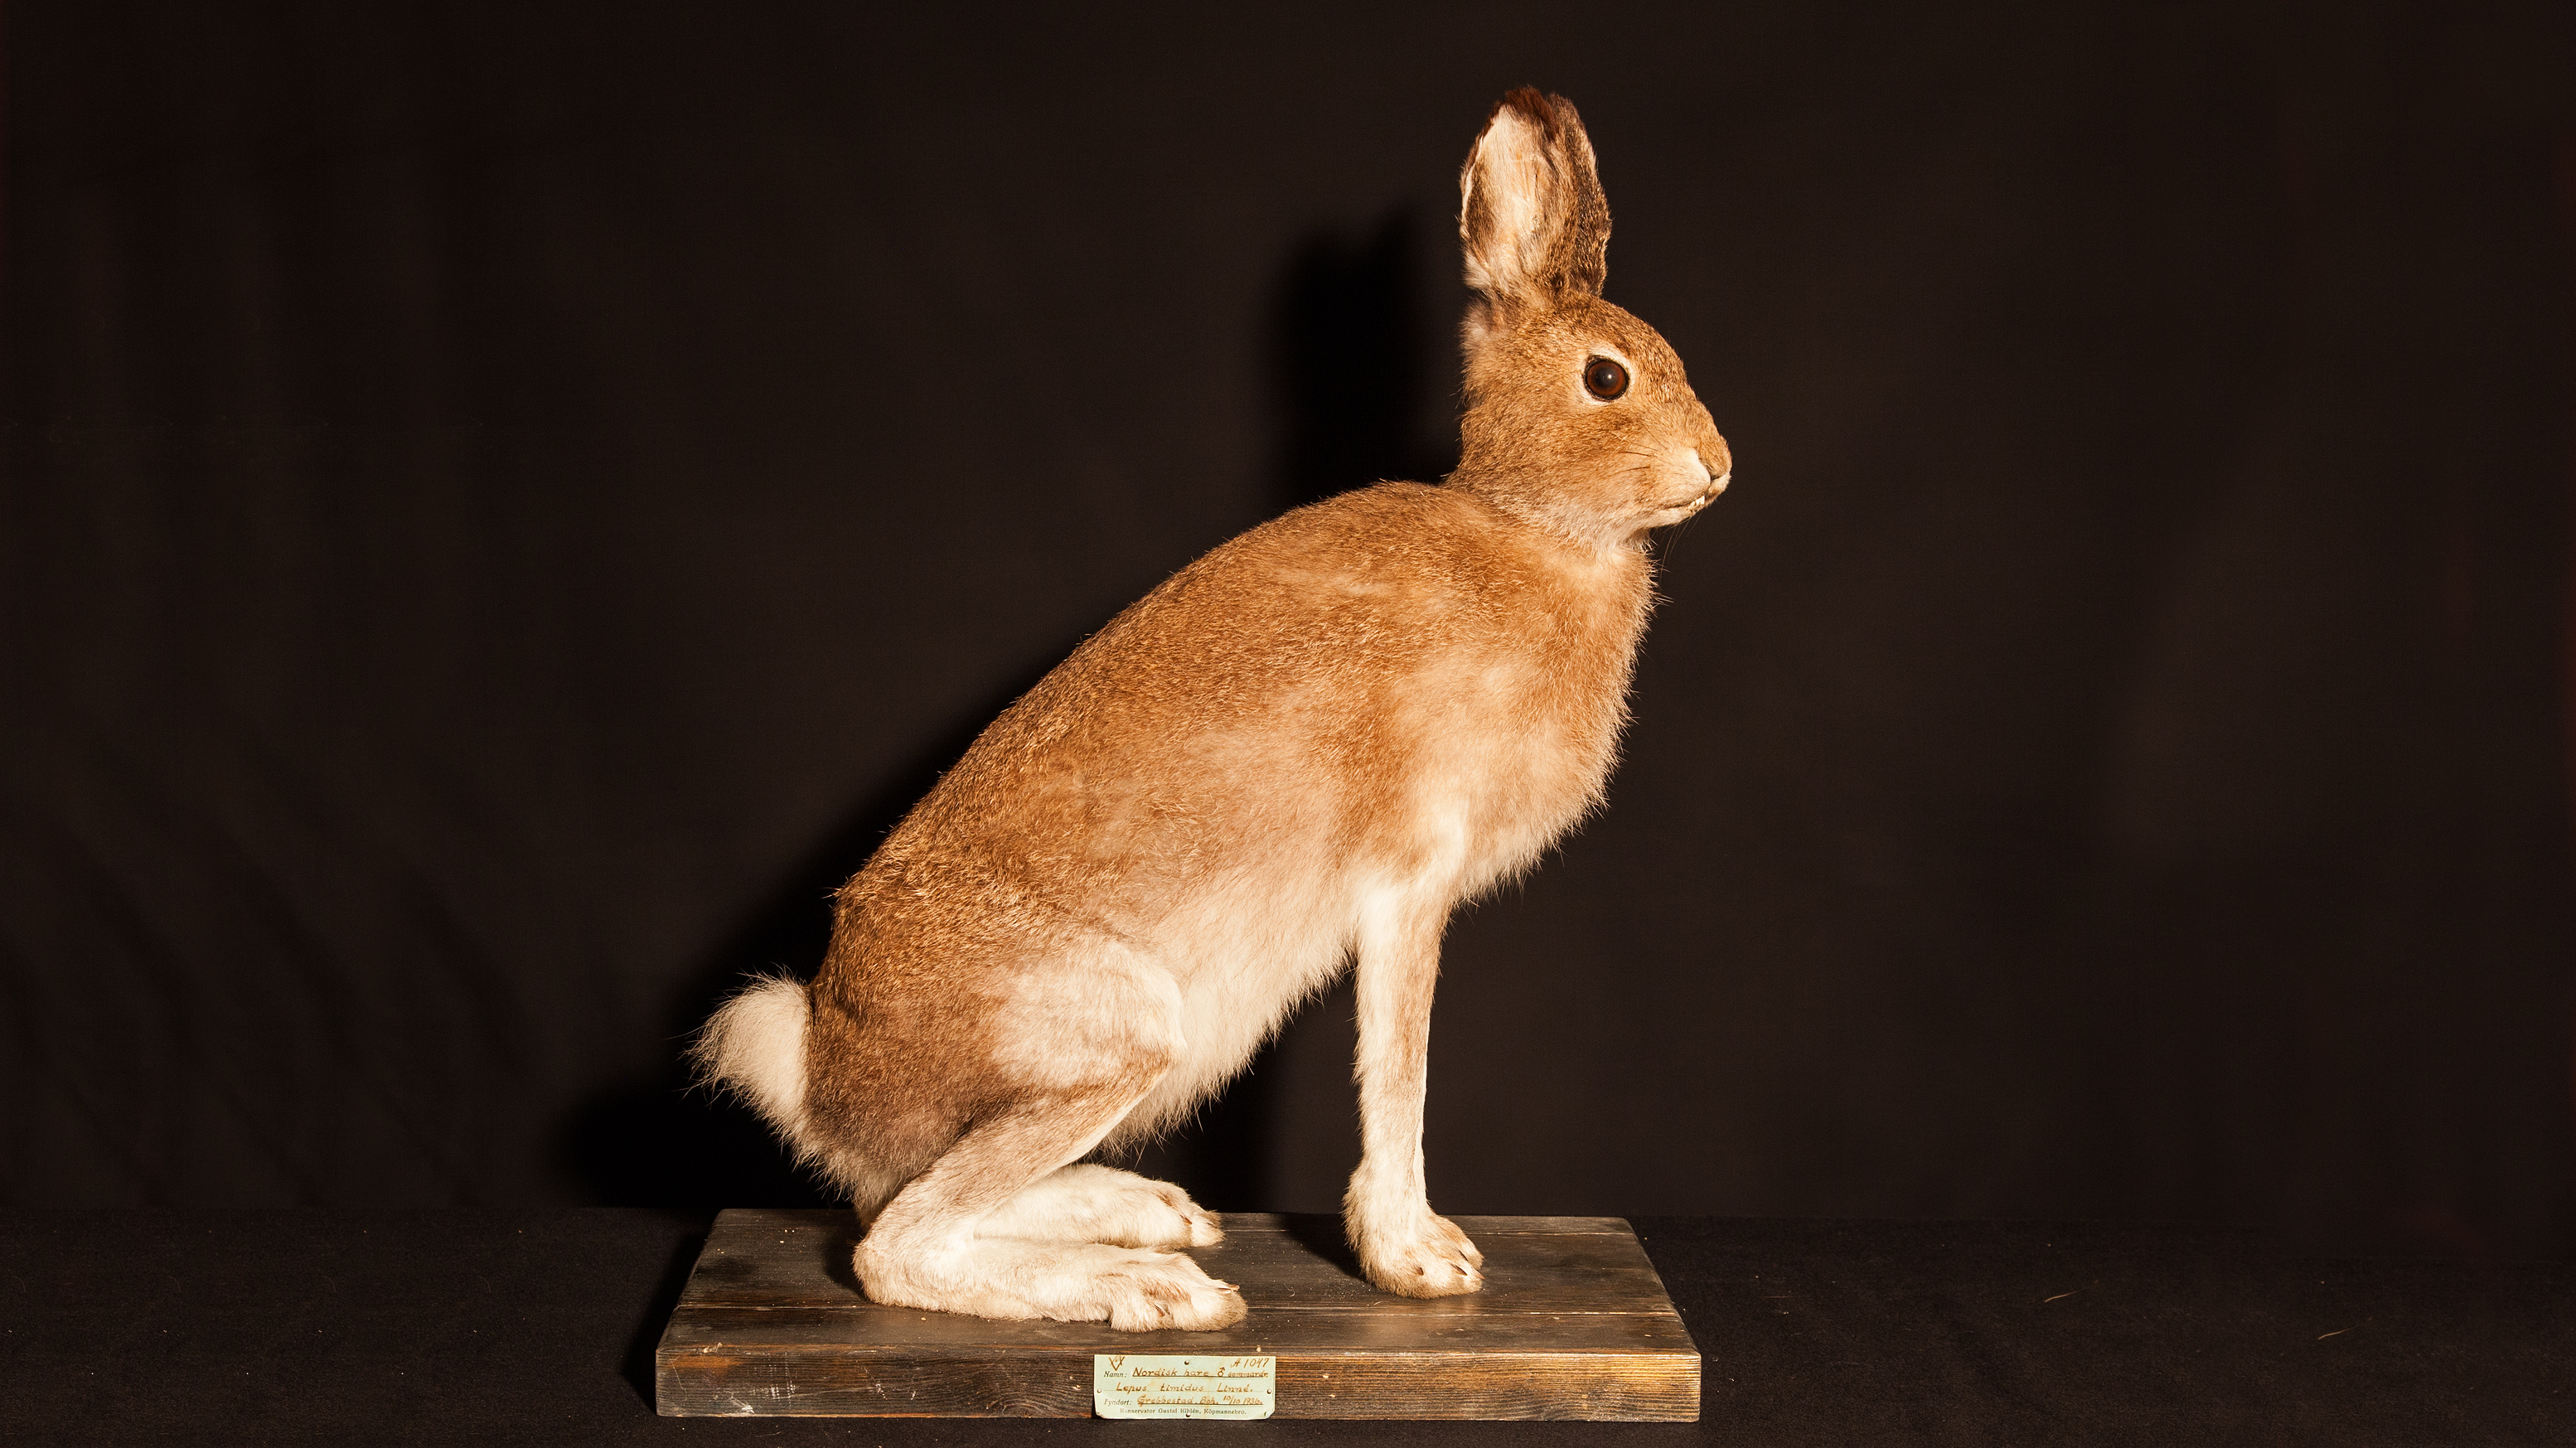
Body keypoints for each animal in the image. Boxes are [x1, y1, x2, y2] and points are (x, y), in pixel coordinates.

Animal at [695, 87, 1730, 1332]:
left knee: (900, 1197)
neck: (1539, 527)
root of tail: (821, 1072)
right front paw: (1416, 1259)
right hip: (1122, 1031)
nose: (1718, 466)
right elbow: (1400, 1071)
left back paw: (1154, 1213)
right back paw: (1155, 1287)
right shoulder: (1408, 881)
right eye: (1607, 379)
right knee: (896, 1242)